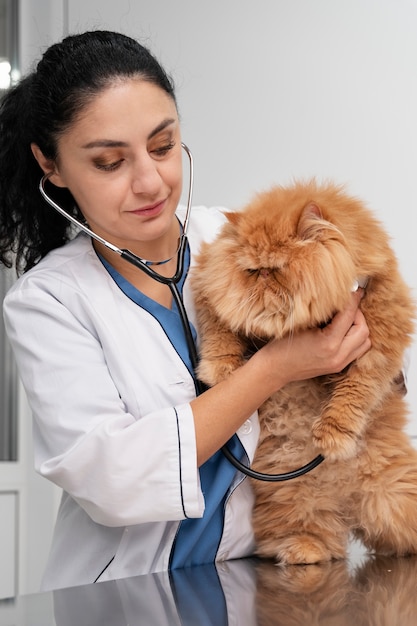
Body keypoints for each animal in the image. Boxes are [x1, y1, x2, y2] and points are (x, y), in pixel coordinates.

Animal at [192, 179, 416, 560]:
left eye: (278, 268)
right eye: (252, 271)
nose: (263, 278)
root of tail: (349, 502)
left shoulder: (381, 329)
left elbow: (355, 390)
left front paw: (334, 436)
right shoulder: (208, 284)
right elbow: (220, 330)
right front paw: (220, 370)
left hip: (396, 496)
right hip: (296, 495)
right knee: (310, 530)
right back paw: (304, 551)